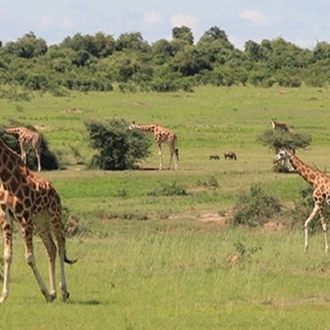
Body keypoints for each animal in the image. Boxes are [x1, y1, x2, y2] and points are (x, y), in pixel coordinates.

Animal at [0, 137, 76, 304]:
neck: (6, 179)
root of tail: (55, 192)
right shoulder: (6, 217)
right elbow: (7, 255)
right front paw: (3, 296)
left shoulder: (25, 218)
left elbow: (29, 257)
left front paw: (46, 293)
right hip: (40, 223)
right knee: (51, 248)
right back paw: (54, 291)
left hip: (54, 216)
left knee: (61, 244)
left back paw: (63, 291)